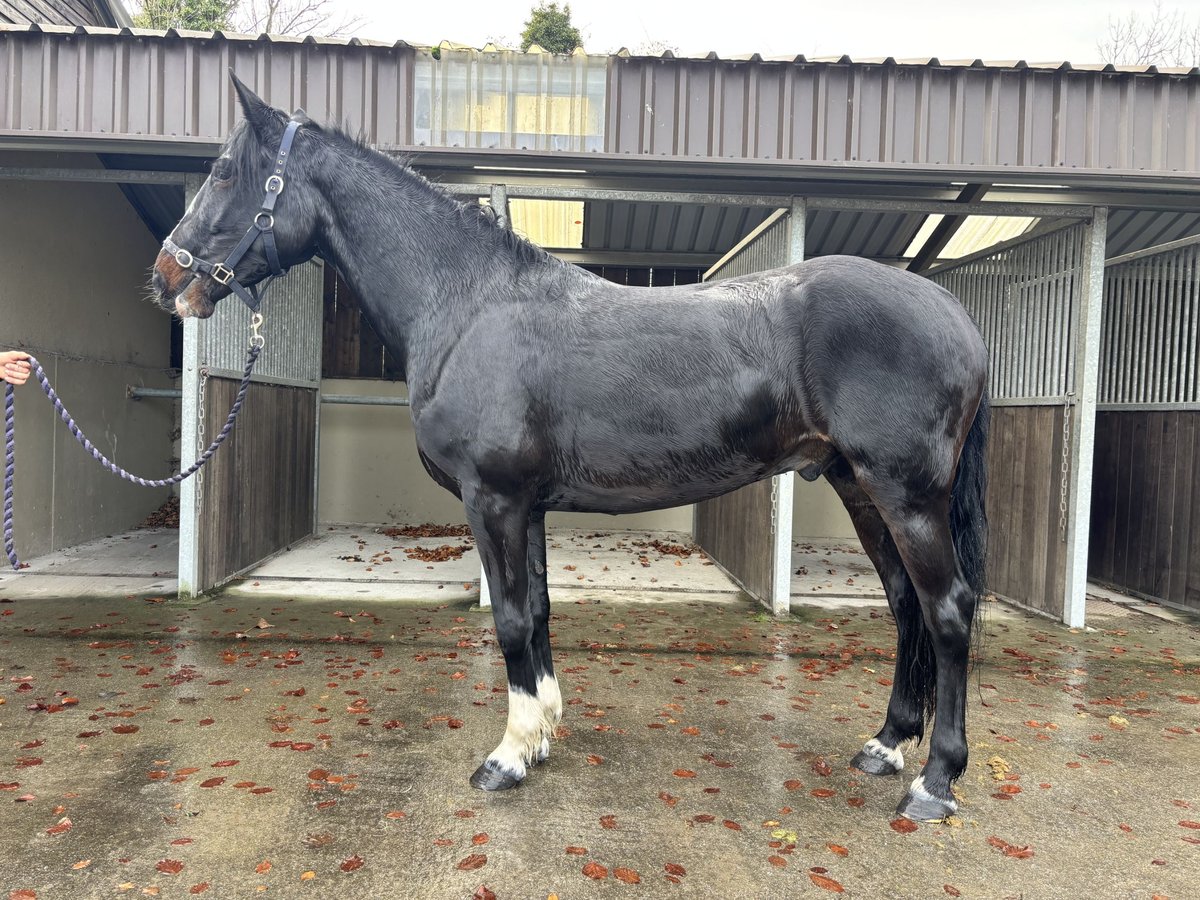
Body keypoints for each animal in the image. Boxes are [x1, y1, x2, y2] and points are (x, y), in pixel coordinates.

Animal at [151, 74, 990, 823]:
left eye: (224, 172)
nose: (165, 278)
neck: (467, 305)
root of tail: (948, 305)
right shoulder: (530, 505)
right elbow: (541, 610)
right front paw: (543, 735)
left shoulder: (493, 499)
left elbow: (511, 621)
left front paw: (506, 756)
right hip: (859, 487)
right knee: (905, 606)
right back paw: (886, 745)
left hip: (906, 495)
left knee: (947, 609)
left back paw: (935, 783)